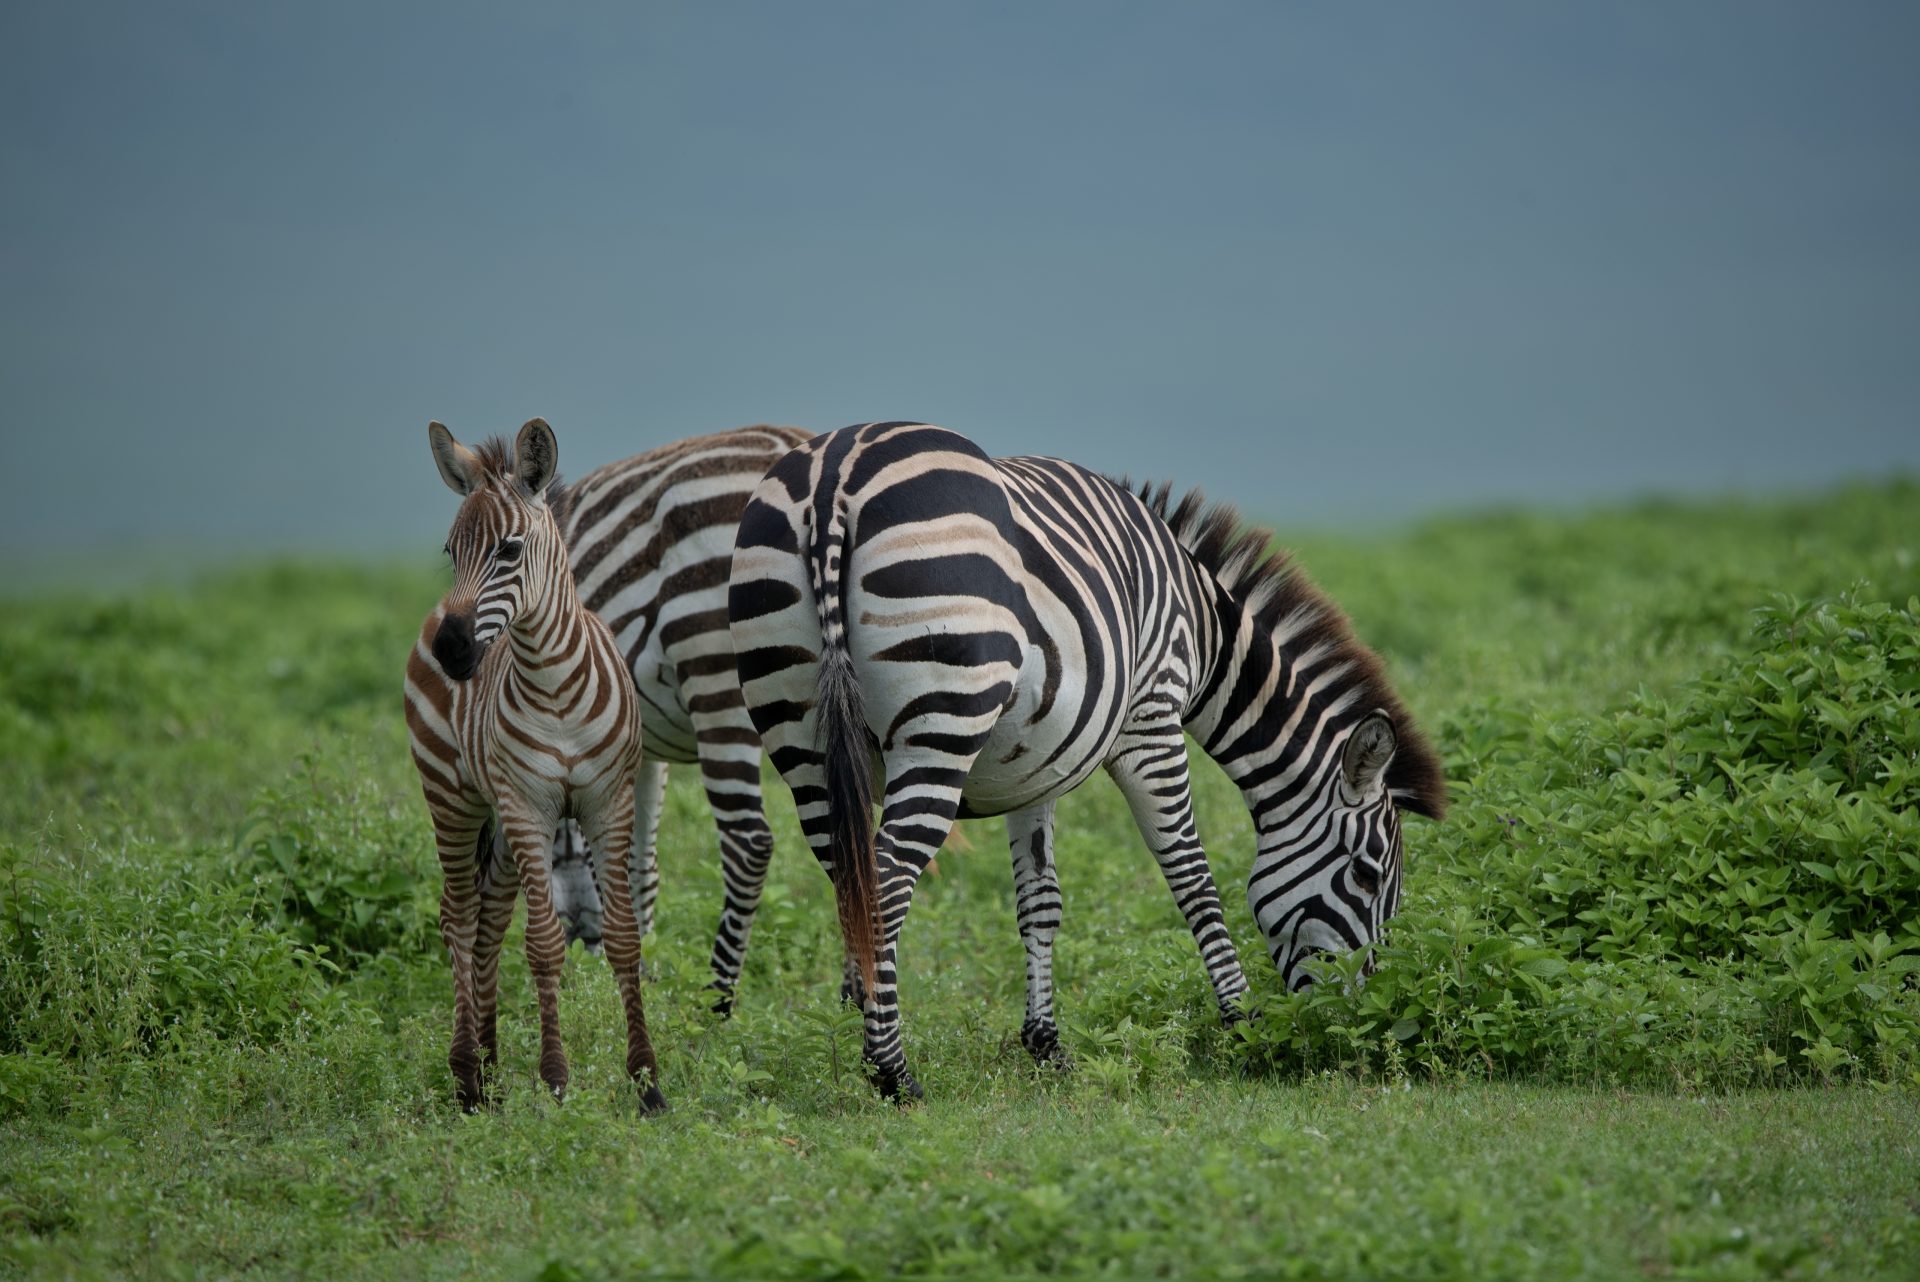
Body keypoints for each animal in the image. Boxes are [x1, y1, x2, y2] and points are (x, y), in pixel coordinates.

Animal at [403, 417, 665, 1113]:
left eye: (510, 550)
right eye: (450, 551)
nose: (453, 652)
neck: (555, 686)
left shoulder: (606, 801)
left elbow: (623, 937)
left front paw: (647, 1083)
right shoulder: (528, 804)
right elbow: (545, 944)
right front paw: (554, 1078)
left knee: (489, 918)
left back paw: (492, 1069)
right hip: (453, 794)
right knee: (459, 916)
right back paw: (467, 1075)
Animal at [532, 425, 815, 1014]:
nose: (580, 942)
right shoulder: (637, 747)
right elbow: (639, 861)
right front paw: (635, 971)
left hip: (715, 674)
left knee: (749, 844)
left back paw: (717, 1004)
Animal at [728, 422, 1446, 1099]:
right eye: (1367, 876)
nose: (1347, 1029)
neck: (1204, 627)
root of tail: (835, 477)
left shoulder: (1030, 763)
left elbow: (1040, 900)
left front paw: (1046, 1046)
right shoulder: (1151, 718)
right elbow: (1192, 876)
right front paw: (1242, 1025)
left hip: (799, 733)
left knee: (847, 877)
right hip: (942, 719)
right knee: (886, 878)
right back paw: (893, 1073)